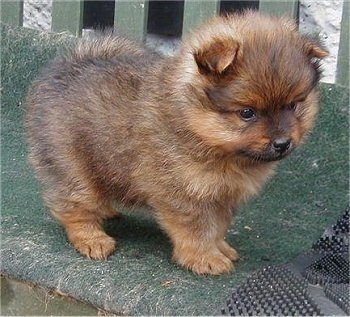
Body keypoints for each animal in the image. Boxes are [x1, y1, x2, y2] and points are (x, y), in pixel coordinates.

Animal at [24, 11, 328, 274]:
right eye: (247, 113)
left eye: (294, 105)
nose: (282, 142)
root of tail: (72, 67)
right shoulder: (184, 192)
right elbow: (197, 229)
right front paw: (204, 258)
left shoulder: (221, 195)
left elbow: (217, 227)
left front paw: (220, 248)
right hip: (72, 166)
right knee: (74, 207)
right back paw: (92, 238)